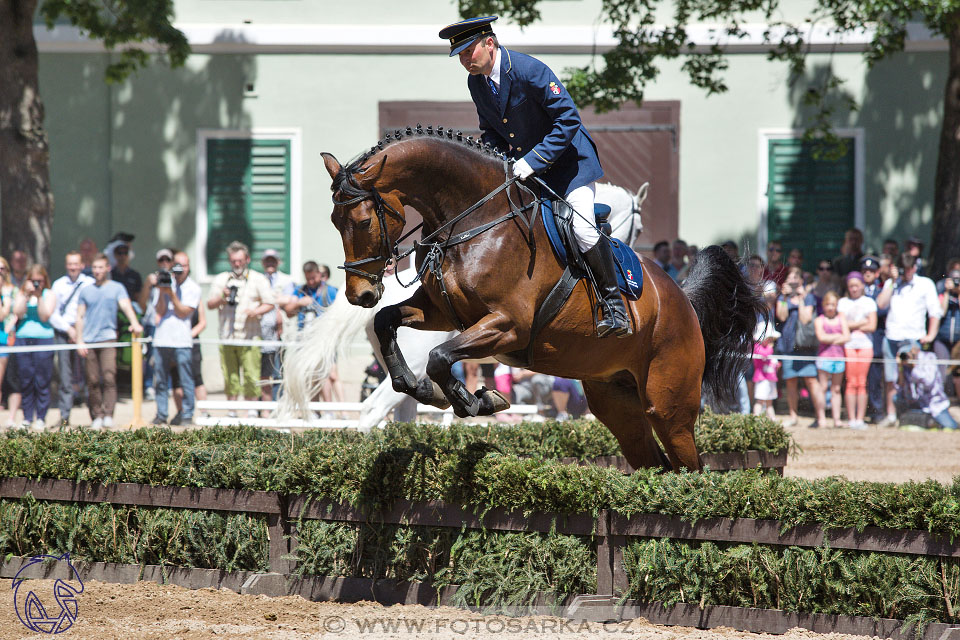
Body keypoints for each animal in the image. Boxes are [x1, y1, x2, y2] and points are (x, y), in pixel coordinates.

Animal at [326, 127, 760, 472]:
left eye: (362, 221)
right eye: (335, 221)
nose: (361, 294)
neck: (474, 221)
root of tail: (683, 300)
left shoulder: (507, 325)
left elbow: (439, 357)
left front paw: (477, 401)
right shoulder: (442, 313)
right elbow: (389, 323)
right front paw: (429, 390)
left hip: (669, 407)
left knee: (689, 467)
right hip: (617, 404)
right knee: (655, 462)